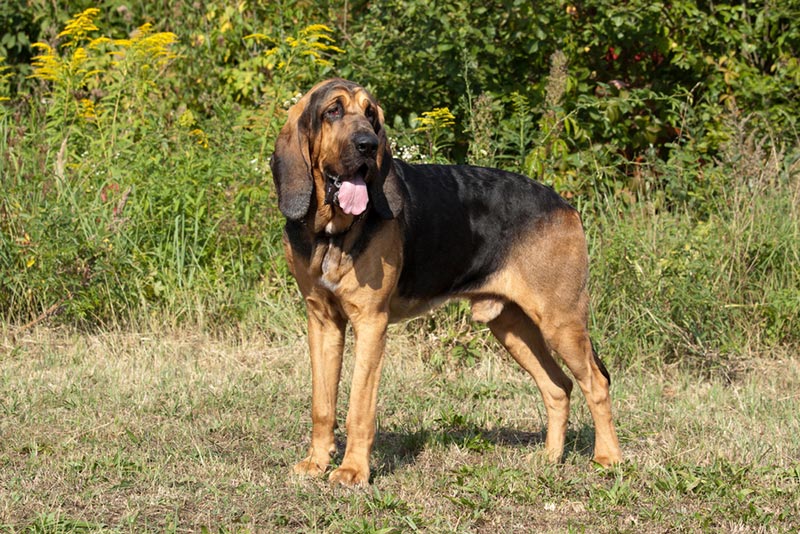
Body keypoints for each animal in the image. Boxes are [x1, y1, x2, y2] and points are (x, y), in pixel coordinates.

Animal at [272, 78, 620, 486]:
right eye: (333, 111)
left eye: (371, 114)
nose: (368, 146)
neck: (331, 232)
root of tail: (567, 207)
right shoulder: (323, 322)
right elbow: (322, 404)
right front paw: (316, 462)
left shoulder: (370, 323)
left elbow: (359, 407)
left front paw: (353, 470)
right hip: (512, 327)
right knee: (558, 387)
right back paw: (549, 459)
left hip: (560, 322)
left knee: (595, 383)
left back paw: (608, 458)